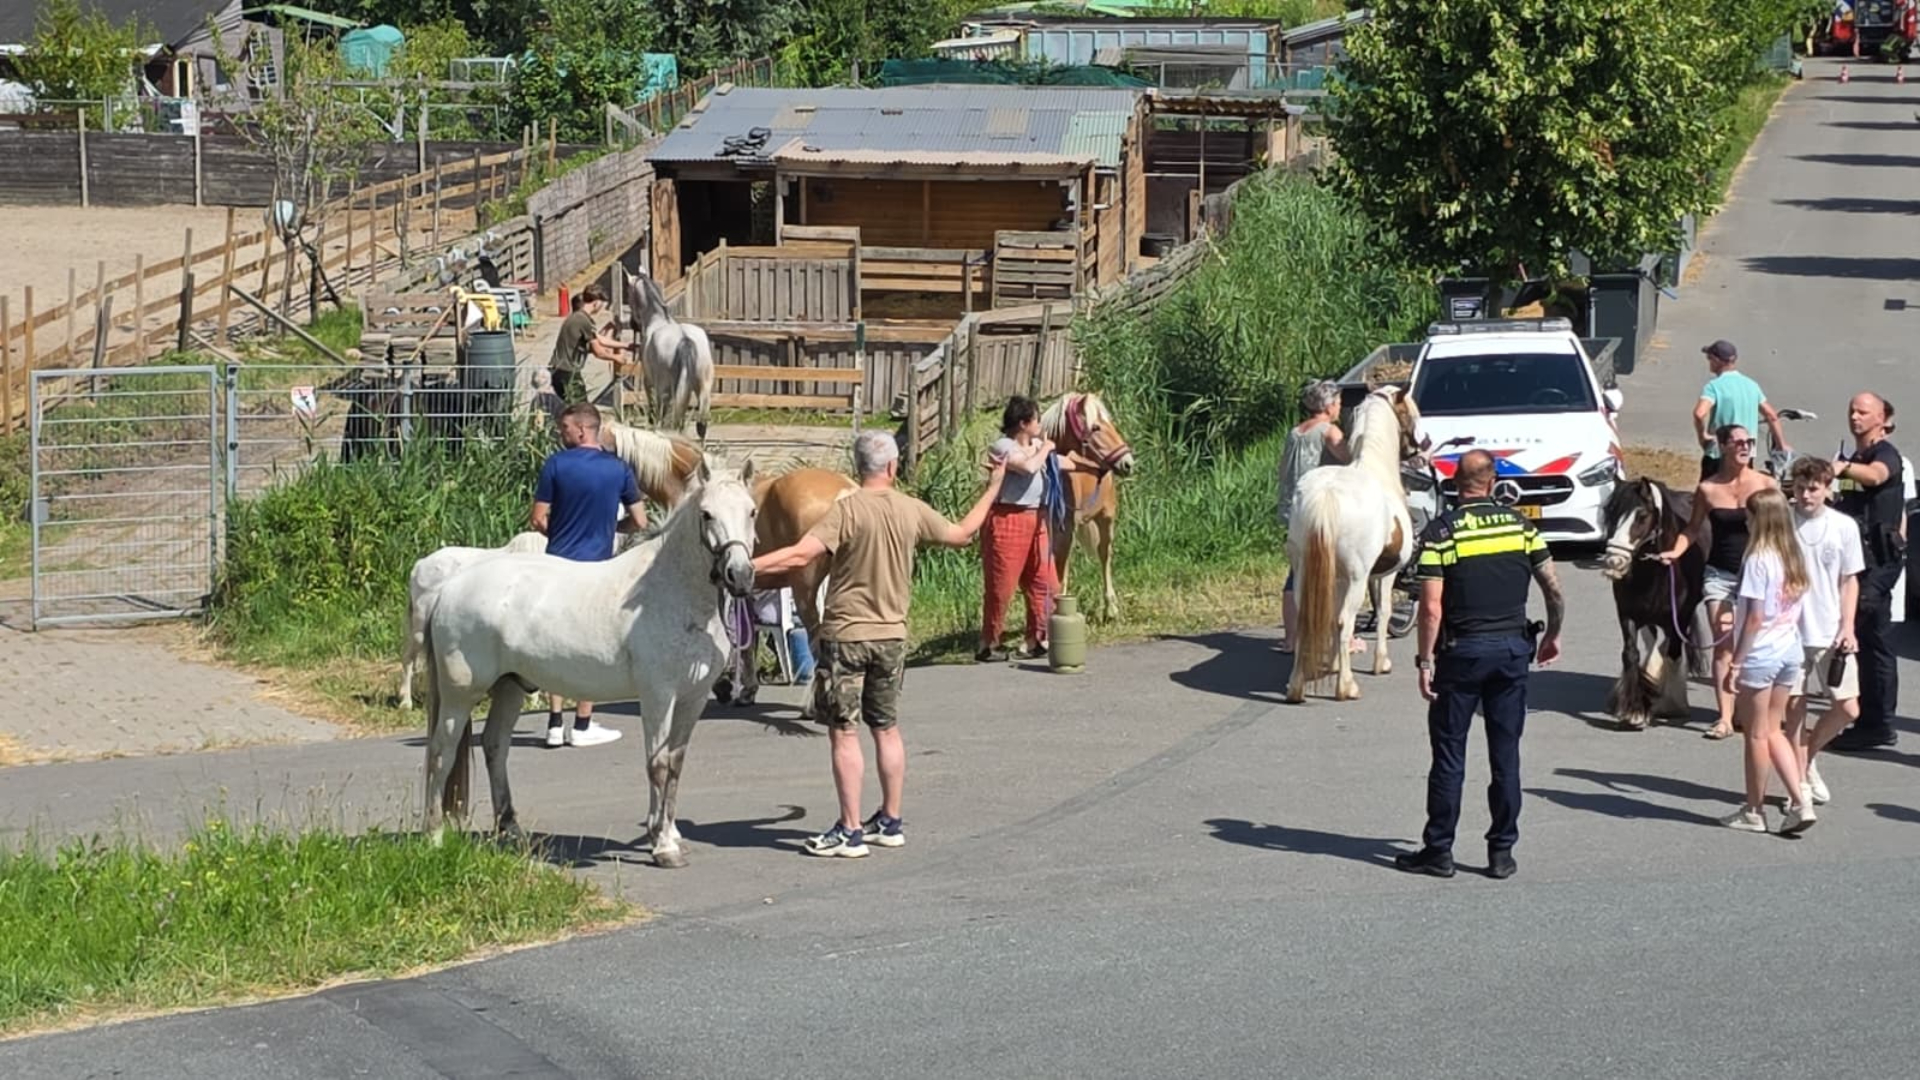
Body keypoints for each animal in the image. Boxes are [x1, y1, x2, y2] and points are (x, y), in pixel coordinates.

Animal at [420, 456, 759, 868]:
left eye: (752, 511)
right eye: (707, 514)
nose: (739, 576)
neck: (674, 593)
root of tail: (448, 588)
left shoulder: (692, 699)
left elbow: (675, 765)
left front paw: (670, 834)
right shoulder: (659, 696)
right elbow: (658, 764)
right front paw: (663, 847)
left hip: (510, 687)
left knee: (495, 746)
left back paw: (511, 828)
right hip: (460, 694)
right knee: (442, 751)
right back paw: (434, 837)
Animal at [626, 273, 715, 441]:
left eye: (629, 296)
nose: (632, 324)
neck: (657, 319)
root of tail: (684, 339)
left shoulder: (649, 381)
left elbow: (651, 402)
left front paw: (650, 419)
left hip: (664, 390)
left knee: (665, 416)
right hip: (703, 389)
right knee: (700, 425)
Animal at [1039, 392, 1136, 621]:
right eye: (1095, 427)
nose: (1128, 463)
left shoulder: (1065, 533)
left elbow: (1061, 573)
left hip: (1106, 518)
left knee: (1104, 554)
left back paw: (1111, 608)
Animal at [1283, 385, 1425, 703]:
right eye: (1411, 412)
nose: (1423, 448)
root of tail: (1327, 495)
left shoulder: (1336, 579)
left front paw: (1335, 664)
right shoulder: (1384, 575)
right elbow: (1383, 611)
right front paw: (1380, 663)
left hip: (1305, 572)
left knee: (1307, 618)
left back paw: (1296, 688)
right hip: (1358, 578)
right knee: (1342, 621)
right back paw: (1346, 688)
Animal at [1597, 476, 1709, 729]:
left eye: (1641, 515)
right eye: (1610, 512)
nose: (1614, 561)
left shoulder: (1680, 617)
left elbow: (1674, 653)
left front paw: (1671, 705)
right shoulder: (1627, 615)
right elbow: (1631, 654)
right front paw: (1634, 711)